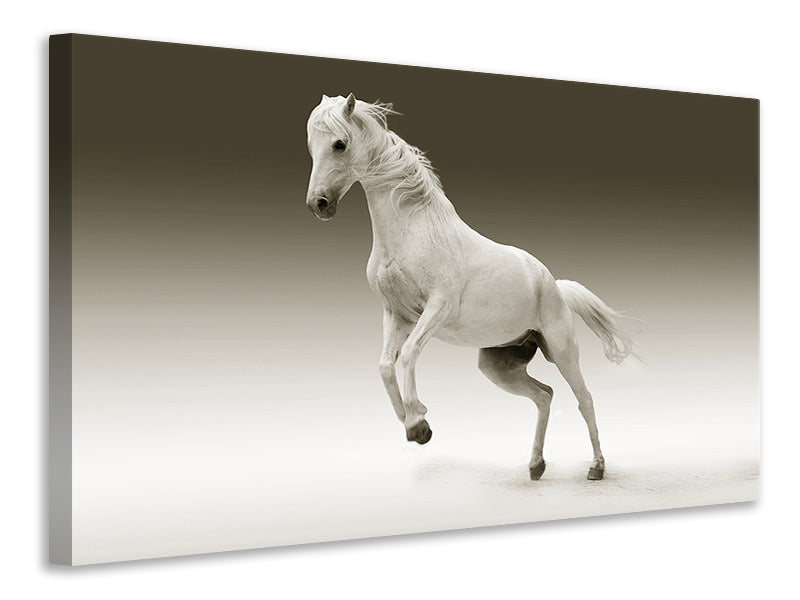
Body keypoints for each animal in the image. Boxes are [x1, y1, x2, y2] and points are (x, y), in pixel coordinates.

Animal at [304, 93, 637, 481]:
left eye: (339, 144)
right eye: (311, 147)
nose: (318, 204)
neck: (412, 231)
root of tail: (553, 284)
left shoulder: (437, 308)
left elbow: (409, 355)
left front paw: (418, 424)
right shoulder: (396, 314)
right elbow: (385, 365)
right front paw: (413, 422)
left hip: (562, 350)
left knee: (584, 399)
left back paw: (596, 468)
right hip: (498, 365)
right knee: (544, 395)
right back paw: (536, 465)